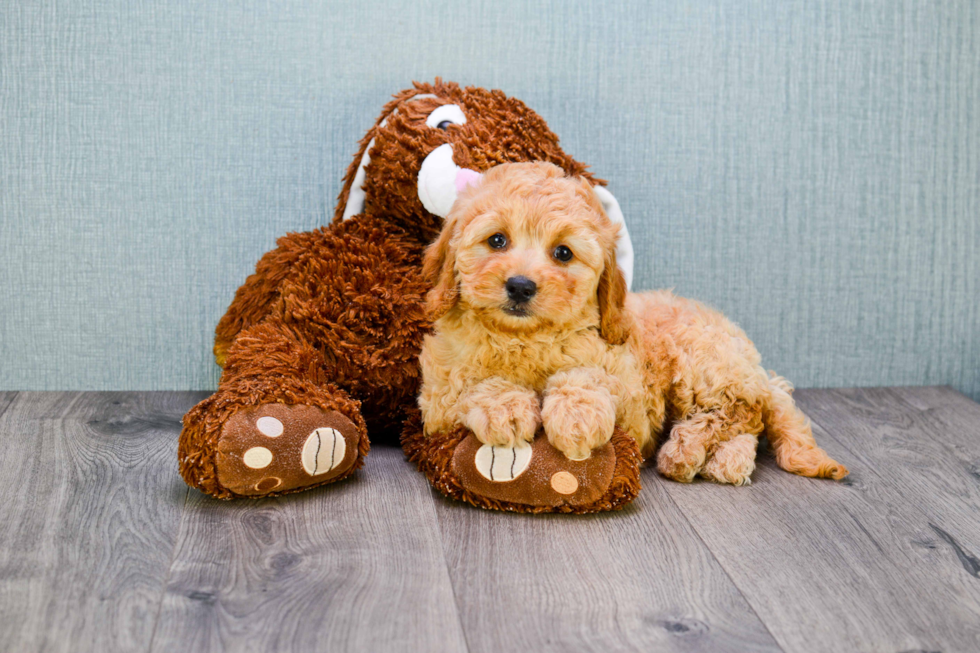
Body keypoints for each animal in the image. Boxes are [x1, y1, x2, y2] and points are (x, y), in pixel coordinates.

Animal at [418, 160, 848, 482]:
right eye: (496, 240)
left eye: (563, 253)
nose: (521, 286)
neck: (524, 338)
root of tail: (753, 363)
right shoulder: (437, 398)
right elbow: (472, 385)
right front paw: (504, 407)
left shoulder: (631, 399)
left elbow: (589, 377)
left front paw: (576, 414)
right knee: (749, 423)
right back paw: (726, 461)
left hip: (702, 363)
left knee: (741, 411)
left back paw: (687, 449)